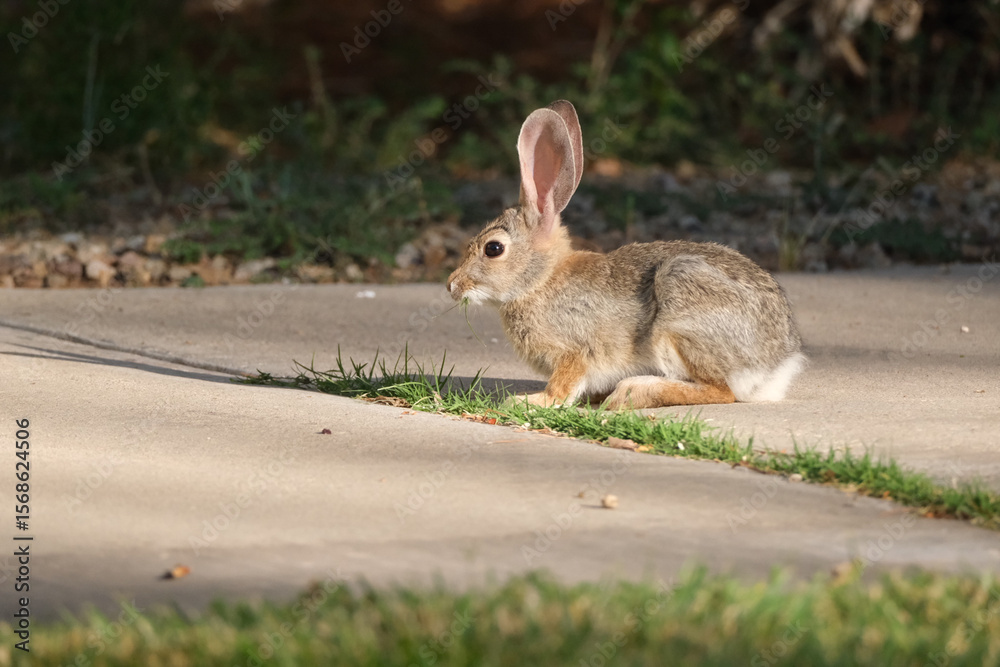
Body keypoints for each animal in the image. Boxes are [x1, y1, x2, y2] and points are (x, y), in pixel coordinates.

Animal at [447, 100, 805, 409]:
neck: (540, 280)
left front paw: (533, 401)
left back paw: (632, 392)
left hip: (678, 318)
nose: (452, 285)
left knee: (720, 390)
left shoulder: (575, 351)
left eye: (493, 248)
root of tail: (778, 362)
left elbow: (564, 384)